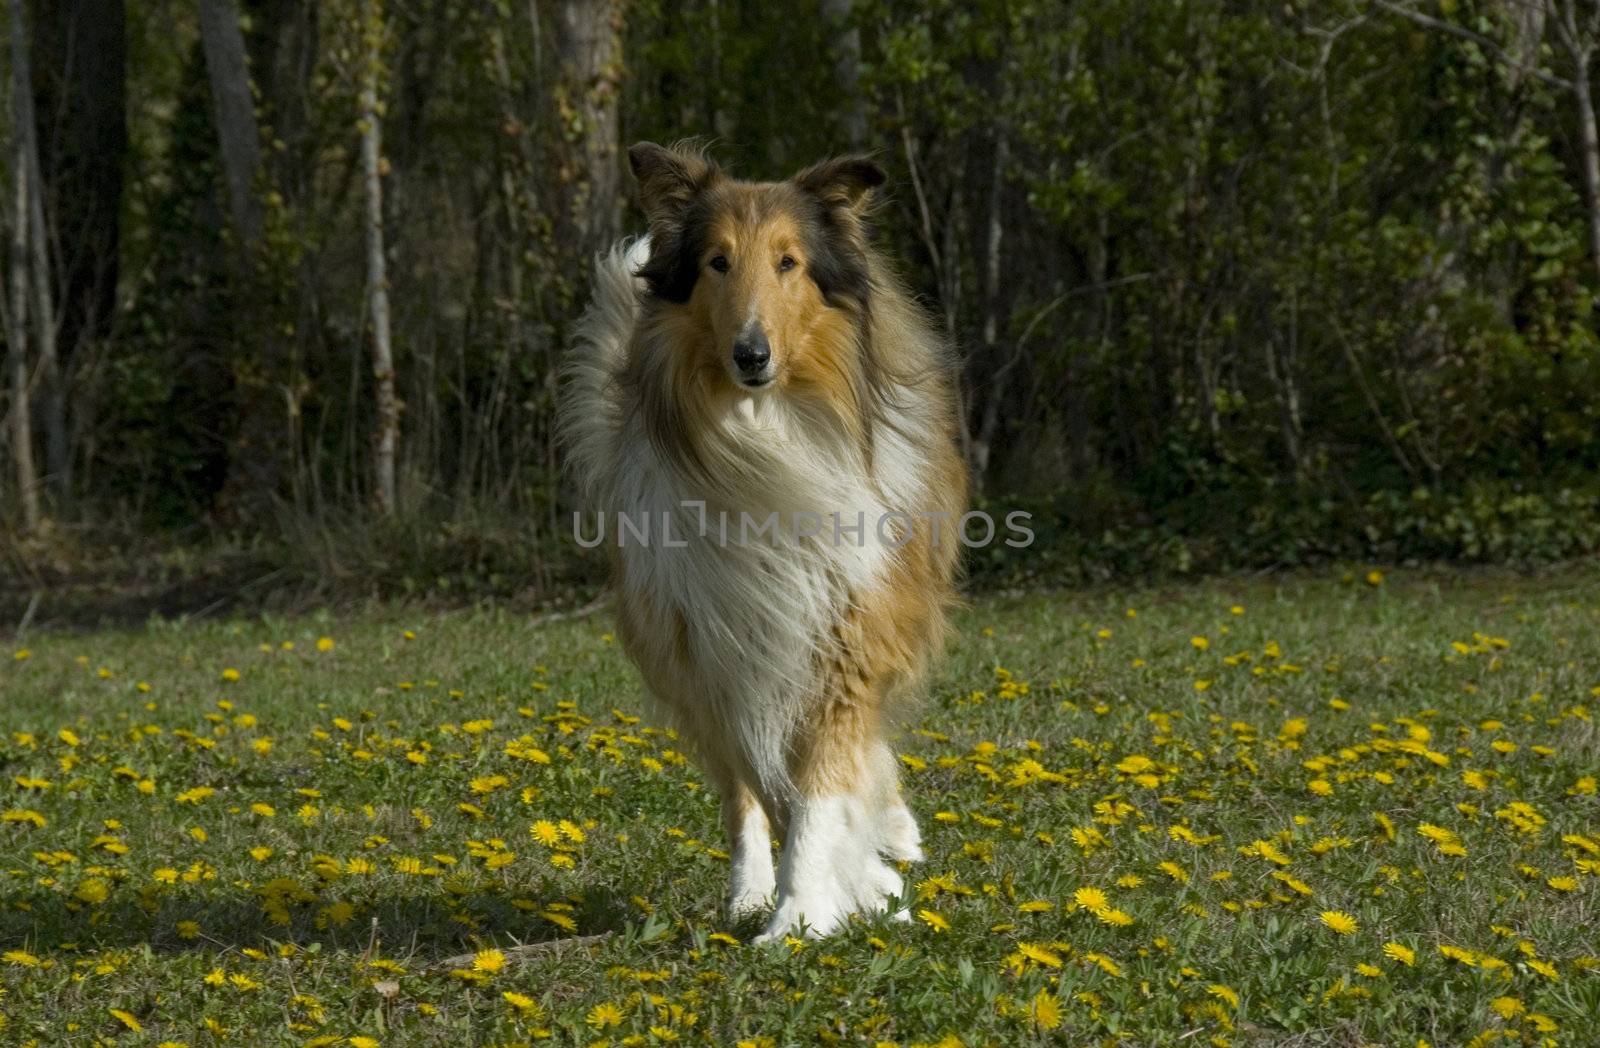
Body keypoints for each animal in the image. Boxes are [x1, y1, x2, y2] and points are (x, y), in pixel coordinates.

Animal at [563, 141, 960, 940]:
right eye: (718, 262)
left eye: (788, 263)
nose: (752, 354)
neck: (761, 437)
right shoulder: (721, 648)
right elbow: (774, 787)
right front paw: (840, 895)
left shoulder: (843, 633)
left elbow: (822, 784)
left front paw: (807, 908)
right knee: (741, 791)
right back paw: (758, 888)